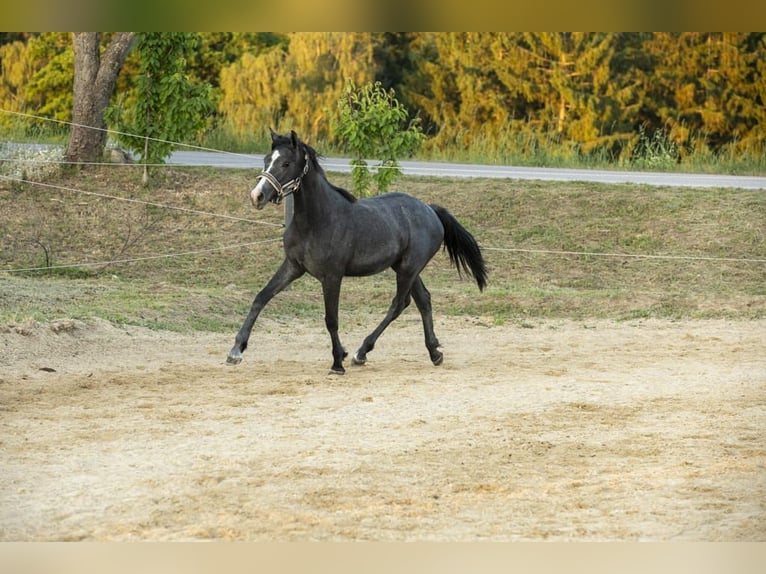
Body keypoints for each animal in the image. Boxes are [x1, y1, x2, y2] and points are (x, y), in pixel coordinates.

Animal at [227, 129, 487, 374]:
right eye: (266, 159)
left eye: (286, 164)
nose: (257, 196)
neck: (318, 220)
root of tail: (430, 210)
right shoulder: (293, 266)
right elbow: (261, 297)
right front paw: (235, 351)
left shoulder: (332, 276)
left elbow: (331, 319)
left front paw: (337, 362)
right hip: (406, 268)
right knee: (423, 300)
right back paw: (434, 353)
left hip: (408, 268)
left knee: (399, 304)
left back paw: (362, 352)